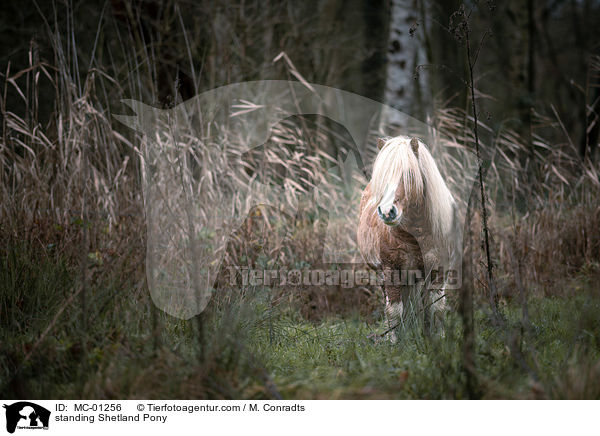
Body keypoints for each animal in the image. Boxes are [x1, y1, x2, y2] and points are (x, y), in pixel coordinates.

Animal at [358, 135, 458, 338]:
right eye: (382, 176)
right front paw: (395, 341)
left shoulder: (438, 272)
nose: (387, 212)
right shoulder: (391, 271)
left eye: (409, 174)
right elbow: (394, 311)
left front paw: (438, 339)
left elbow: (435, 309)